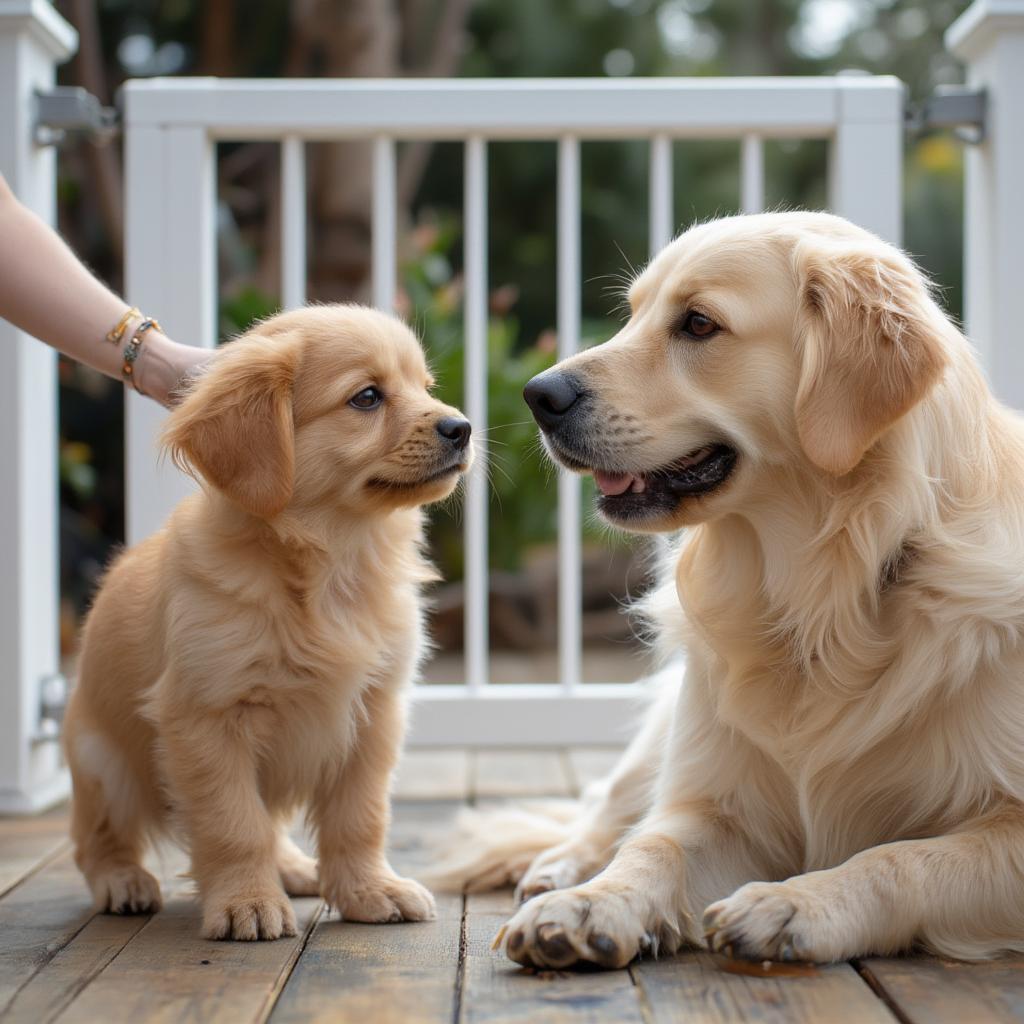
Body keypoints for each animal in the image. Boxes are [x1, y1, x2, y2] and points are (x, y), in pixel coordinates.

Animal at [66, 307, 473, 937]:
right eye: (367, 397)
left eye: (425, 387)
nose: (464, 427)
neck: (334, 563)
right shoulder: (207, 719)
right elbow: (234, 824)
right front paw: (247, 903)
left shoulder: (374, 714)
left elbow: (360, 816)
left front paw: (369, 890)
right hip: (104, 765)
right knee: (97, 837)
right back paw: (123, 881)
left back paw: (294, 869)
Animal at [446, 209, 1024, 966]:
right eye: (632, 314)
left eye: (698, 324)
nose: (538, 396)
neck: (828, 594)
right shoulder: (716, 802)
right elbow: (654, 845)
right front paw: (588, 903)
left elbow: (901, 857)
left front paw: (795, 904)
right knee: (608, 804)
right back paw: (561, 867)